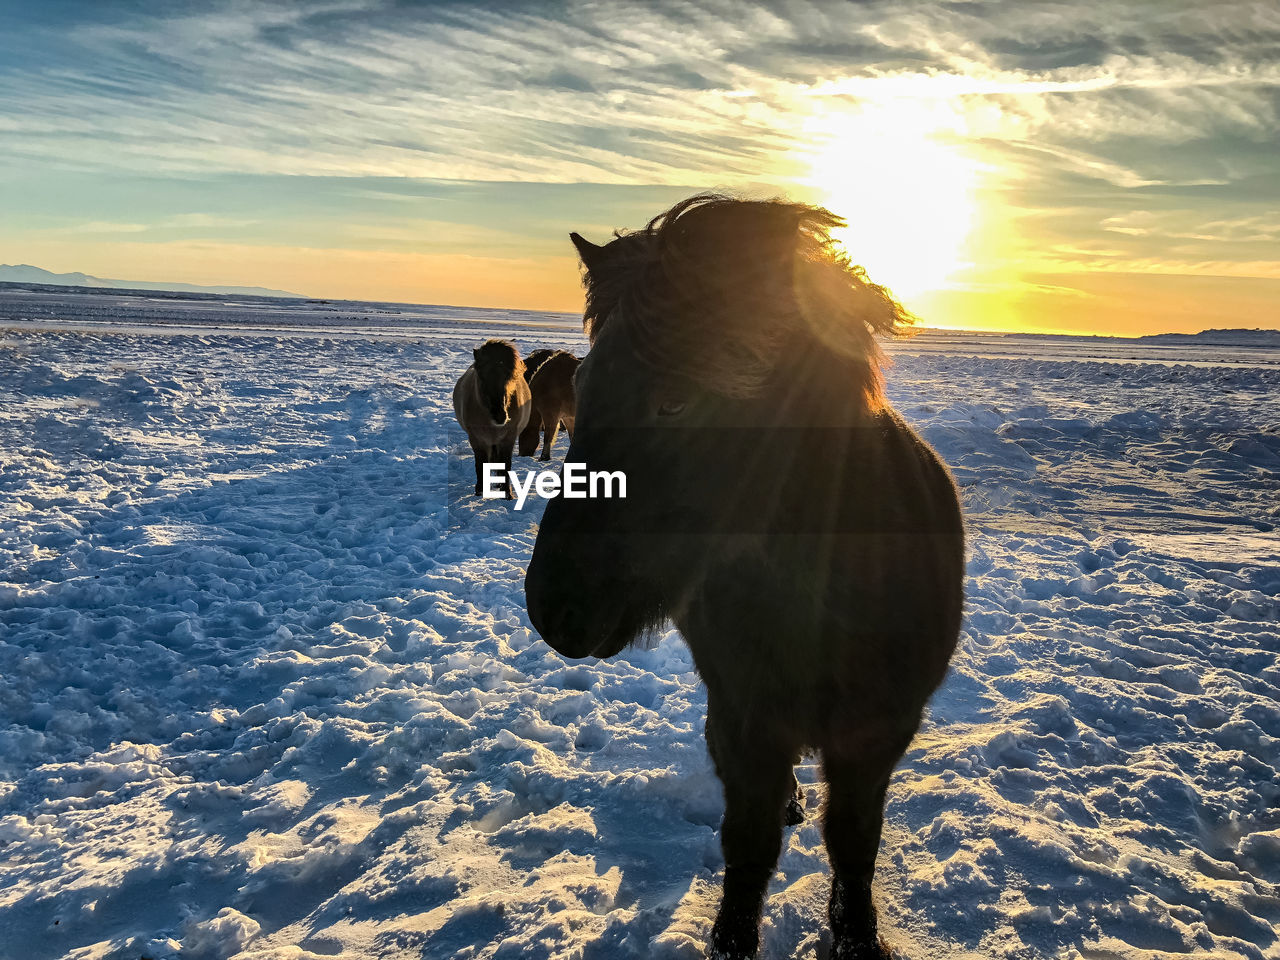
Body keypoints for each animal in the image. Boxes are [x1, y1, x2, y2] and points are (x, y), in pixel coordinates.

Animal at [455, 337, 529, 499]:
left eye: (510, 377)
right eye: (482, 378)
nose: (500, 415)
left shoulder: (508, 438)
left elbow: (506, 464)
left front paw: (507, 493)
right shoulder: (477, 439)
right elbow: (480, 463)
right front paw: (479, 490)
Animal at [522, 195, 962, 960]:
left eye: (675, 400)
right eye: (579, 386)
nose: (554, 610)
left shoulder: (877, 736)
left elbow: (854, 844)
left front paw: (857, 937)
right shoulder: (746, 722)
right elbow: (748, 848)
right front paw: (732, 938)